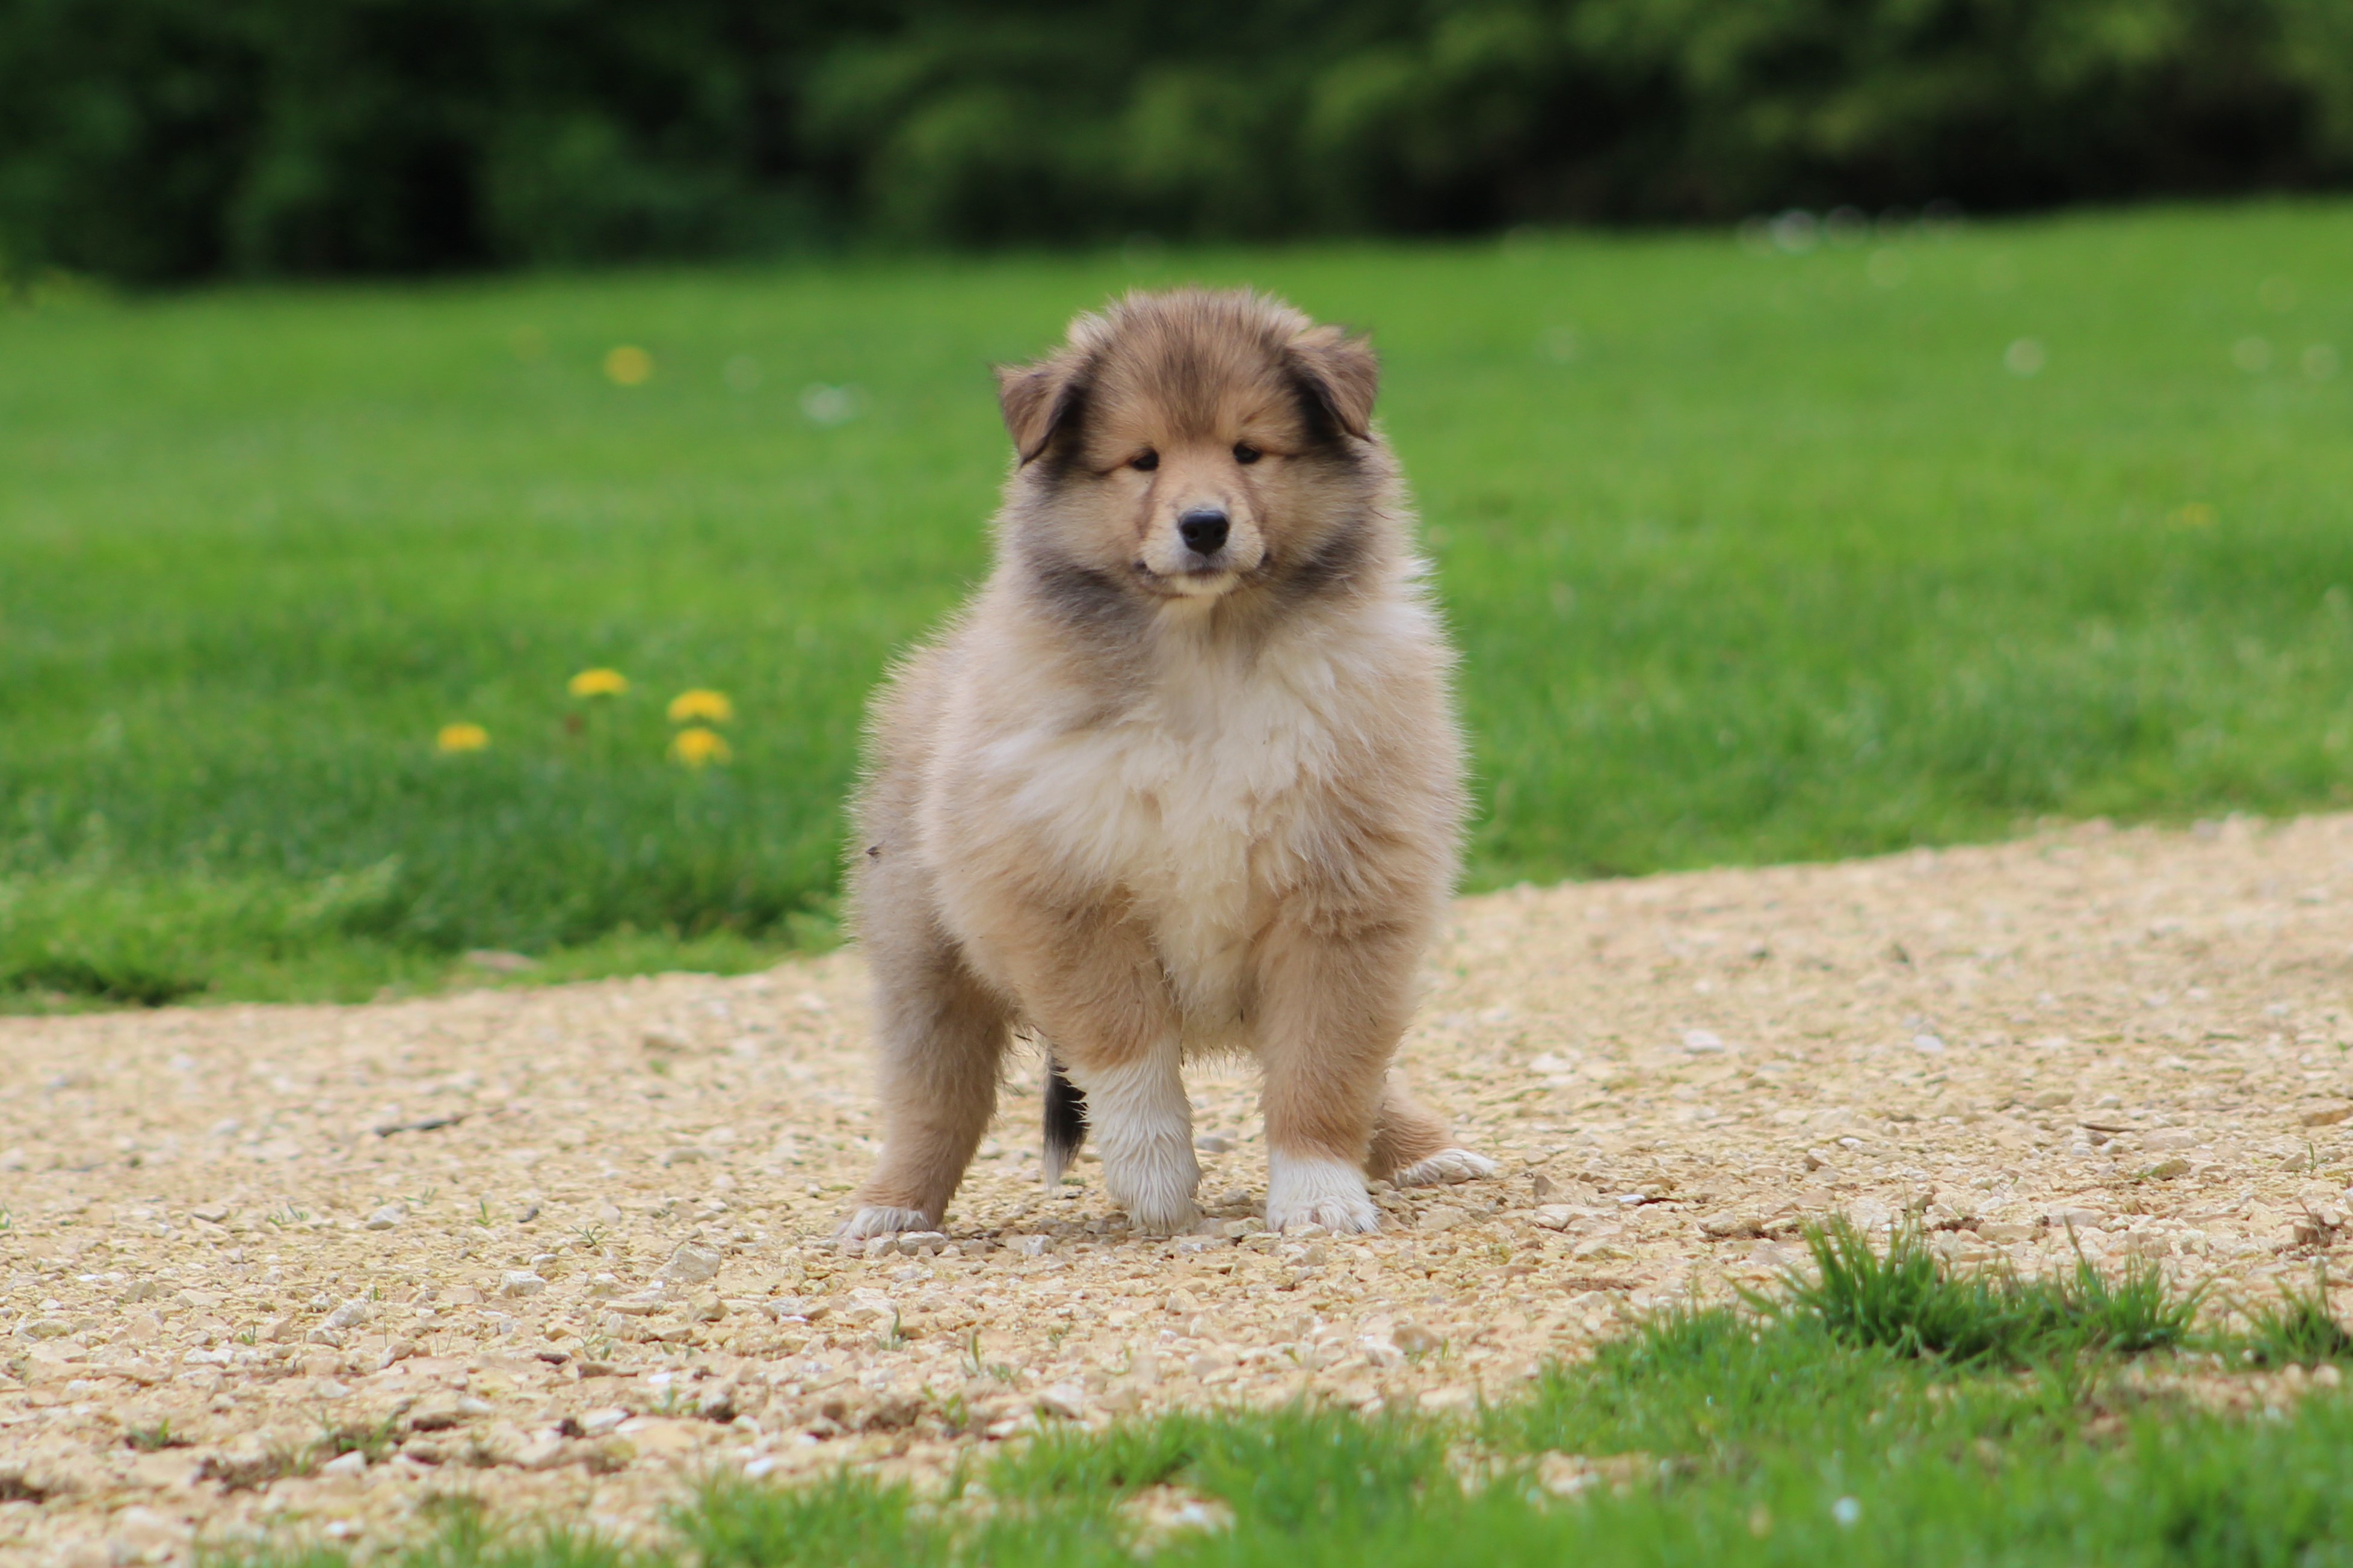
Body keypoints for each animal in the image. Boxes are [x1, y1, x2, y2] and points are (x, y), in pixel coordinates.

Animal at [842, 283, 1487, 1233]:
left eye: (1248, 450)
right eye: (1140, 461)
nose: (1206, 526)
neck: (1207, 657)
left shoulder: (1345, 897)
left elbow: (1326, 1065)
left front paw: (1318, 1198)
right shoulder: (1063, 896)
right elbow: (1125, 1048)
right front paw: (1155, 1181)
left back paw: (1429, 1154)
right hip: (925, 958)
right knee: (936, 1101)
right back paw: (888, 1213)